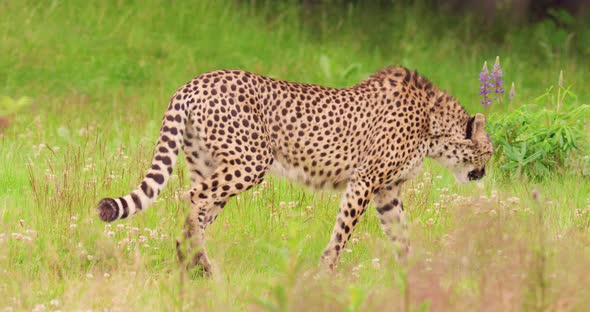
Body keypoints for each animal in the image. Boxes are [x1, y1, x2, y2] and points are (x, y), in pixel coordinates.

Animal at [97, 65, 494, 272]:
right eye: (489, 152)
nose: (485, 173)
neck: (432, 124)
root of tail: (196, 81)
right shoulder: (364, 182)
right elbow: (343, 233)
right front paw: (327, 272)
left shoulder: (386, 192)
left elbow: (401, 235)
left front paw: (413, 274)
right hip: (249, 163)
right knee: (190, 197)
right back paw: (201, 265)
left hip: (209, 164)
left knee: (199, 208)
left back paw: (189, 264)